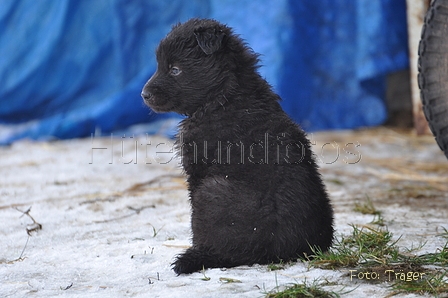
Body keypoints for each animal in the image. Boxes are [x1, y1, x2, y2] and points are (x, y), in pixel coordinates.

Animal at [142, 18, 334, 274]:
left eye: (175, 69)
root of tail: (285, 252)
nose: (143, 94)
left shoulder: (198, 172)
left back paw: (193, 258)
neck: (223, 96)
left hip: (212, 192)